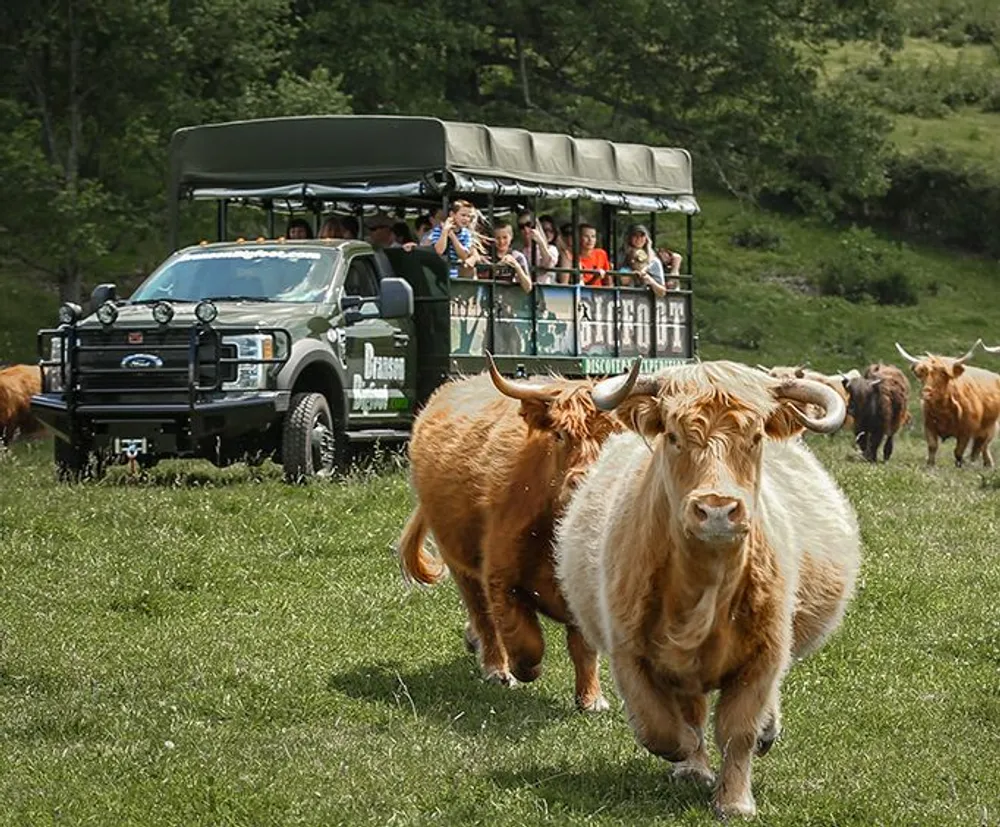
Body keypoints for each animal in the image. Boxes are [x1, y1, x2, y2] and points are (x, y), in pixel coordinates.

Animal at [396, 356, 624, 712]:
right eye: (559, 435)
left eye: (609, 438)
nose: (582, 482)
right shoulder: (500, 577)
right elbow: (526, 641)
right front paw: (521, 670)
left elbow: (584, 648)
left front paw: (591, 699)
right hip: (459, 560)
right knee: (483, 616)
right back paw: (495, 668)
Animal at [556, 364, 860, 820]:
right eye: (674, 436)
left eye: (755, 437)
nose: (717, 509)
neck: (705, 590)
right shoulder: (629, 652)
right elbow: (661, 728)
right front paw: (689, 759)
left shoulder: (766, 654)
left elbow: (739, 730)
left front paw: (735, 801)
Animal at [900, 336, 1000, 466]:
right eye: (923, 373)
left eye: (943, 374)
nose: (926, 392)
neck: (943, 411)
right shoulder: (929, 425)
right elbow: (932, 446)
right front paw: (930, 465)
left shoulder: (966, 431)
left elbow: (958, 451)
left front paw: (960, 465)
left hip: (990, 426)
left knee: (982, 445)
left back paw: (983, 464)